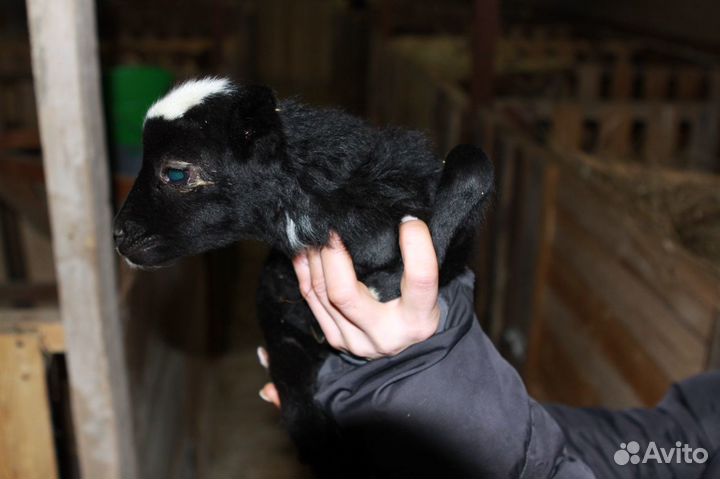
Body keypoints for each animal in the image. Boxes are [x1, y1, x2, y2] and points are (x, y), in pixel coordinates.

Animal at [114, 77, 494, 474]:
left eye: (175, 173)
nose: (119, 235)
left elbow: (471, 162)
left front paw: (391, 277)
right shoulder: (280, 322)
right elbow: (299, 407)